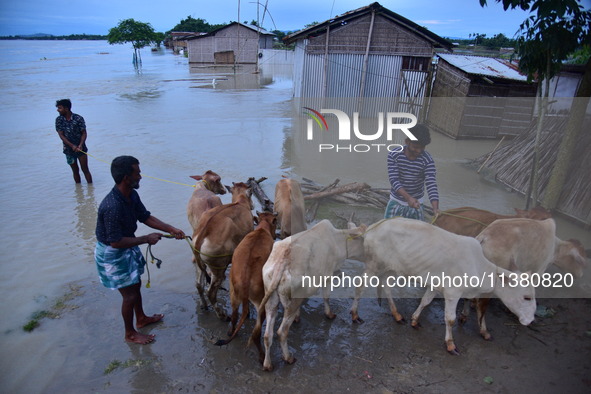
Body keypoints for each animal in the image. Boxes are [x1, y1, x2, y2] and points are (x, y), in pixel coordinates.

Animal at [192, 182, 252, 320]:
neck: (240, 201)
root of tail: (203, 234)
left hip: (200, 263)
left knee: (199, 285)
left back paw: (204, 305)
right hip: (218, 267)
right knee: (211, 293)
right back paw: (222, 315)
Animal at [214, 211, 278, 362]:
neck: (261, 229)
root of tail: (245, 279)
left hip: (233, 292)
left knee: (234, 316)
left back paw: (231, 331)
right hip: (261, 301)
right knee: (256, 333)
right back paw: (262, 357)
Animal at [260, 220, 366, 370]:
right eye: (364, 239)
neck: (338, 240)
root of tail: (283, 259)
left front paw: (298, 316)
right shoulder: (328, 275)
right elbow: (326, 297)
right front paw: (329, 314)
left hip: (271, 298)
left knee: (267, 335)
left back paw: (268, 364)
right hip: (295, 299)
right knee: (282, 332)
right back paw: (288, 358)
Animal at [354, 217, 540, 356]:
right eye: (527, 297)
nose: (531, 320)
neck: (478, 266)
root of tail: (372, 227)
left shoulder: (436, 286)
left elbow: (425, 301)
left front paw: (415, 320)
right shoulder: (452, 293)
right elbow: (450, 319)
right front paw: (450, 344)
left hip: (391, 268)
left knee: (386, 287)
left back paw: (397, 315)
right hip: (374, 264)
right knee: (360, 287)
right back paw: (355, 315)